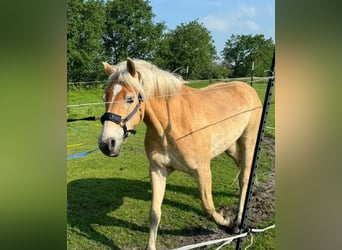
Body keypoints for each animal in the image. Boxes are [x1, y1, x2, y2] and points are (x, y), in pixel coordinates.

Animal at [99, 58, 262, 248]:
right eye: (105, 98)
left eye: (130, 99)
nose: (107, 144)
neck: (172, 125)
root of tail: (248, 88)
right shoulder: (158, 170)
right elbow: (154, 213)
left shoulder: (202, 171)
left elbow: (208, 206)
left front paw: (226, 221)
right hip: (229, 146)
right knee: (241, 166)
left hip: (248, 140)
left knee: (244, 177)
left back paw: (237, 223)